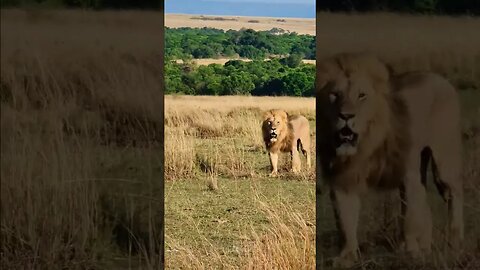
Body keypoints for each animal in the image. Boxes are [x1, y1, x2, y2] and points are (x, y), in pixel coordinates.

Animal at [316, 52, 464, 268]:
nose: (346, 116)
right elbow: (345, 219)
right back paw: (426, 247)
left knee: (453, 194)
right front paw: (346, 257)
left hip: (444, 159)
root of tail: (441, 79)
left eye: (362, 95)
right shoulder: (344, 177)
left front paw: (410, 253)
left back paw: (454, 242)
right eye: (335, 94)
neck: (368, 142)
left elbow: (409, 217)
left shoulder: (407, 173)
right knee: (425, 203)